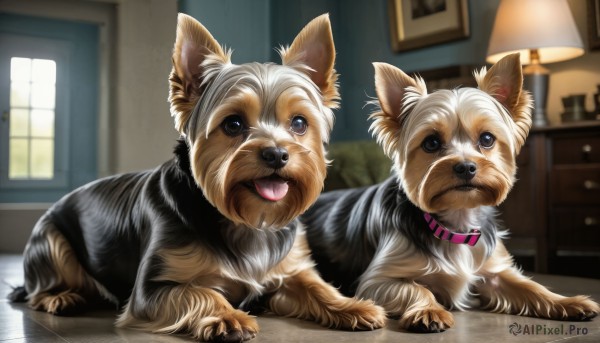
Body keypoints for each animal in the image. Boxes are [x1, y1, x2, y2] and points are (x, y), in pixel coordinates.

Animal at [8, 12, 384, 342]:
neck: (246, 220)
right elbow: (200, 292)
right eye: (233, 123)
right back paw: (61, 297)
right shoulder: (153, 289)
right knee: (41, 285)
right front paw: (228, 317)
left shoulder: (289, 269)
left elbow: (316, 285)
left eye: (300, 123)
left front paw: (352, 306)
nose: (277, 154)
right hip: (51, 240)